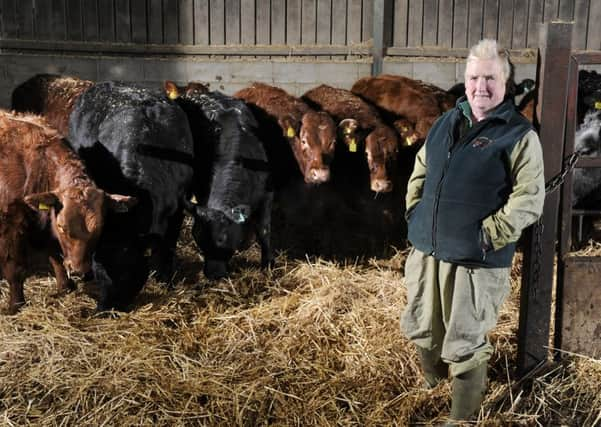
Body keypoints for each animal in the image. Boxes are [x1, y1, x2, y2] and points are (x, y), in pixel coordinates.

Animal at [0, 110, 134, 314]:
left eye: (100, 229)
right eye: (62, 227)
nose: (79, 270)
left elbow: (55, 254)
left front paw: (65, 286)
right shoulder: (11, 224)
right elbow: (15, 268)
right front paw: (15, 305)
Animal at [68, 82, 196, 310]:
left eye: (128, 272)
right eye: (99, 271)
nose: (104, 309)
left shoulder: (178, 208)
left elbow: (167, 247)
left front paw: (164, 278)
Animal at [163, 81, 274, 280]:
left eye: (222, 238)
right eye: (197, 237)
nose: (213, 274)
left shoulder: (268, 194)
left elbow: (264, 230)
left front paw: (268, 265)